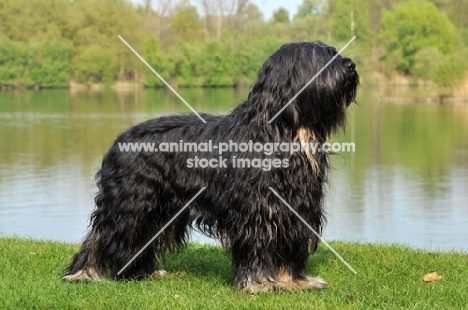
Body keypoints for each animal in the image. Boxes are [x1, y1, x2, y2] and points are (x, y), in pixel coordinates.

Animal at [64, 41, 358, 294]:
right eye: (320, 58)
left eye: (334, 52)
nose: (351, 65)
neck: (286, 130)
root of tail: (120, 138)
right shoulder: (257, 207)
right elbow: (257, 243)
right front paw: (259, 283)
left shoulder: (298, 205)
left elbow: (290, 246)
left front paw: (294, 280)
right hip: (131, 203)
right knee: (103, 234)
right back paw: (84, 273)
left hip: (160, 208)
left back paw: (142, 272)